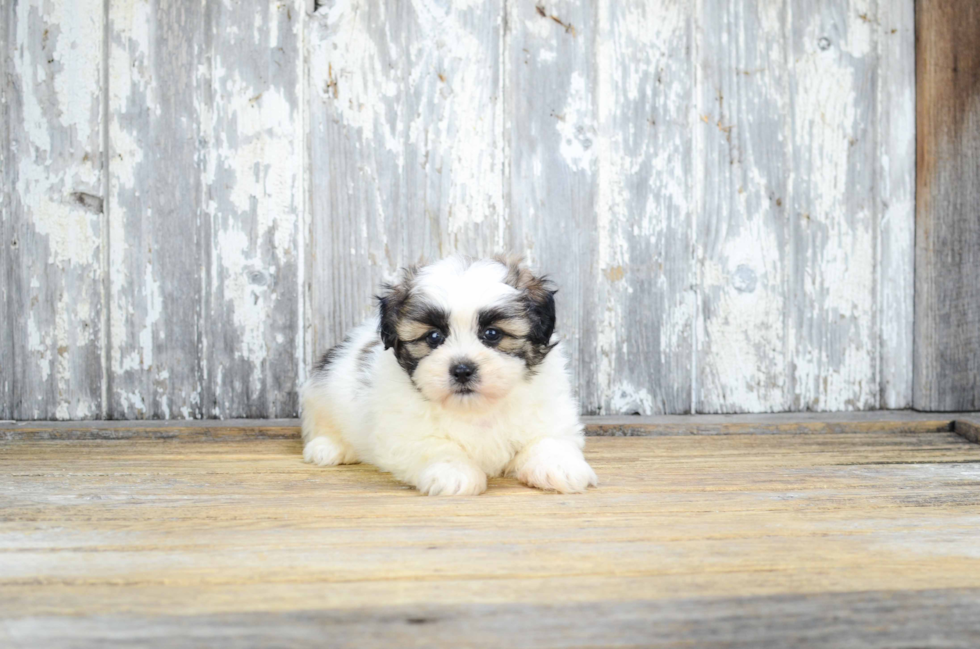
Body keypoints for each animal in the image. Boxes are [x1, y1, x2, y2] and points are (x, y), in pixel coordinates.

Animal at [298, 254, 596, 496]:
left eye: (492, 334)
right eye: (433, 337)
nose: (462, 370)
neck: (476, 409)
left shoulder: (549, 413)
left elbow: (549, 439)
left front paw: (560, 466)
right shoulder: (406, 432)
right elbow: (437, 447)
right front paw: (454, 473)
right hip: (321, 390)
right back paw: (329, 447)